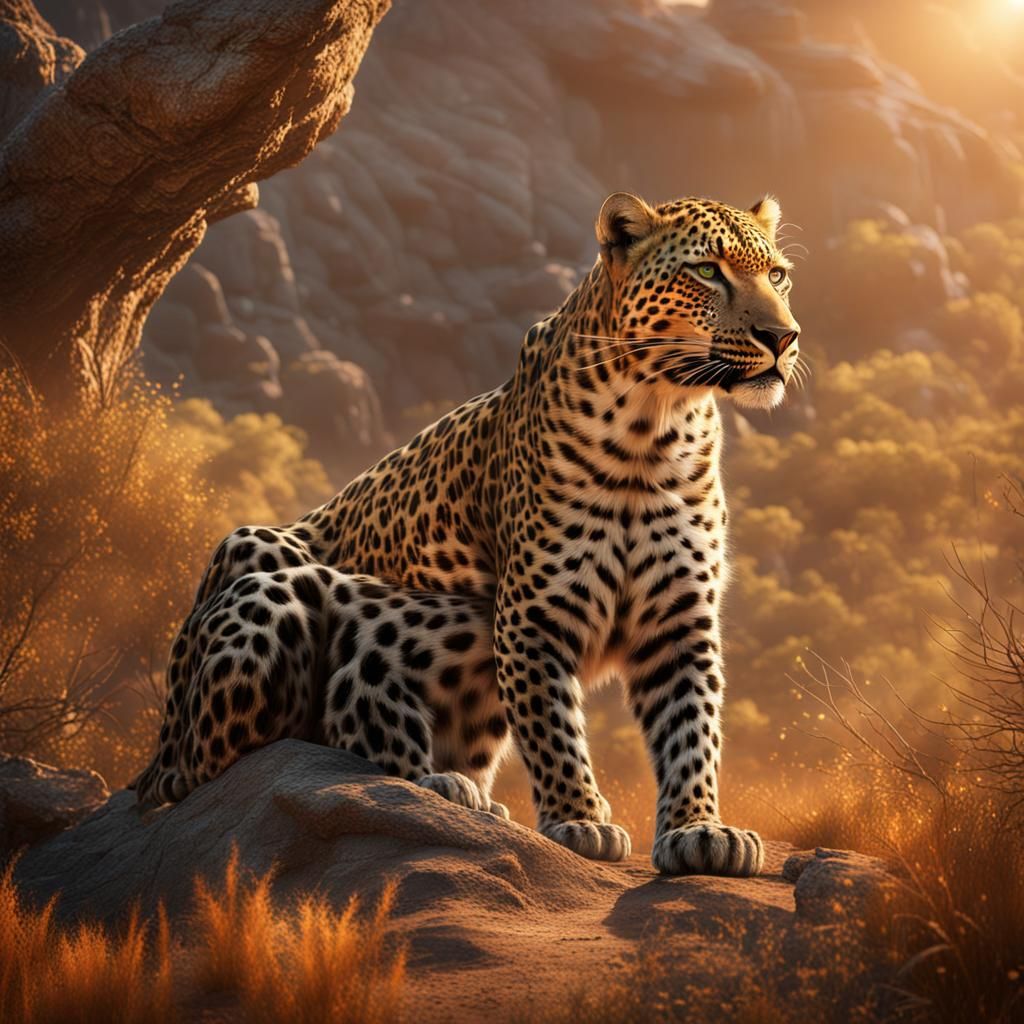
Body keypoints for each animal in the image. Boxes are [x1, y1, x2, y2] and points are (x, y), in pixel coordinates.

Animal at [134, 191, 801, 877]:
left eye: (777, 275)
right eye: (707, 272)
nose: (783, 337)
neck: (657, 427)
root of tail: (151, 761)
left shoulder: (679, 620)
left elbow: (692, 729)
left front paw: (700, 830)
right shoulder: (534, 615)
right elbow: (551, 727)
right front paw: (578, 820)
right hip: (257, 567)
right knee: (235, 769)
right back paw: (441, 787)